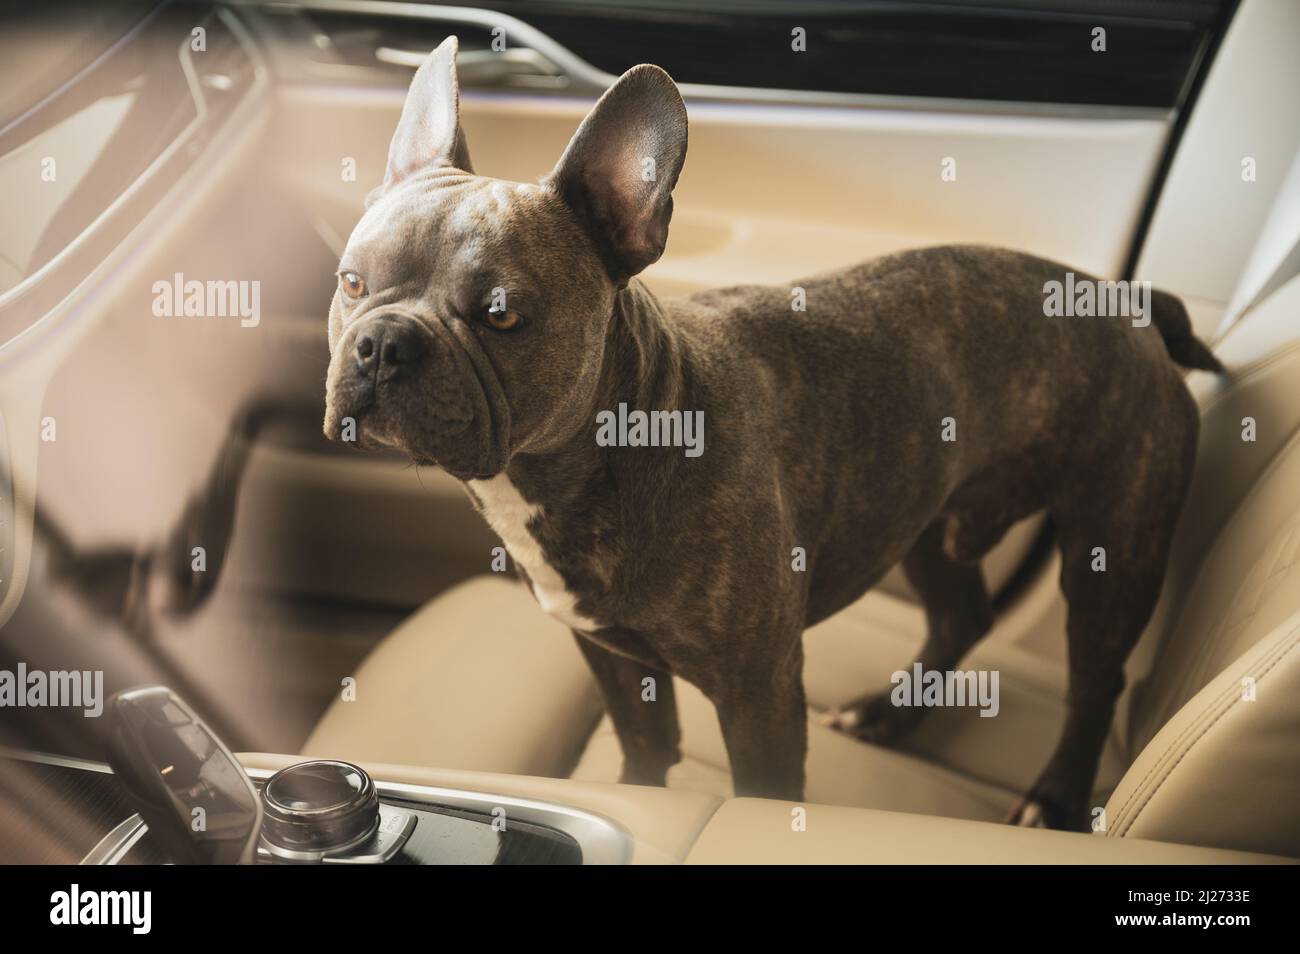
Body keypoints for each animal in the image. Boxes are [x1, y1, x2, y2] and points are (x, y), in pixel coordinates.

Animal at [322, 37, 1216, 831]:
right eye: (352, 283)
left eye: (501, 315)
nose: (383, 343)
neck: (610, 446)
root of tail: (1128, 303)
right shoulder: (609, 653)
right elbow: (645, 745)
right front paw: (639, 786)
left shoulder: (758, 693)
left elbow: (760, 791)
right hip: (924, 513)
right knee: (961, 616)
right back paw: (890, 715)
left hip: (1112, 548)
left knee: (1093, 683)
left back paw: (1054, 798)